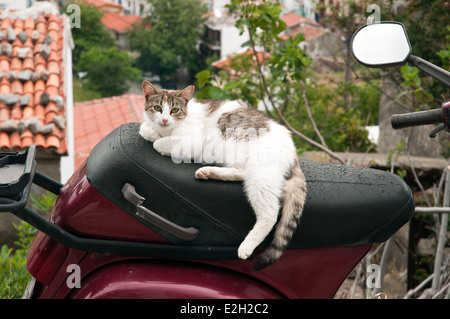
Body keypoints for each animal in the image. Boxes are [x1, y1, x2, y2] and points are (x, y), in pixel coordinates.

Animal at [138, 80, 306, 270]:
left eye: (174, 110)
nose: (165, 120)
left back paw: (246, 246)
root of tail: (293, 153)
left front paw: (158, 138)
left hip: (260, 175)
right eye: (157, 108)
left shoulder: (191, 144)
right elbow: (144, 128)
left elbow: (159, 143)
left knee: (269, 215)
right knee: (240, 174)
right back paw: (208, 172)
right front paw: (152, 131)